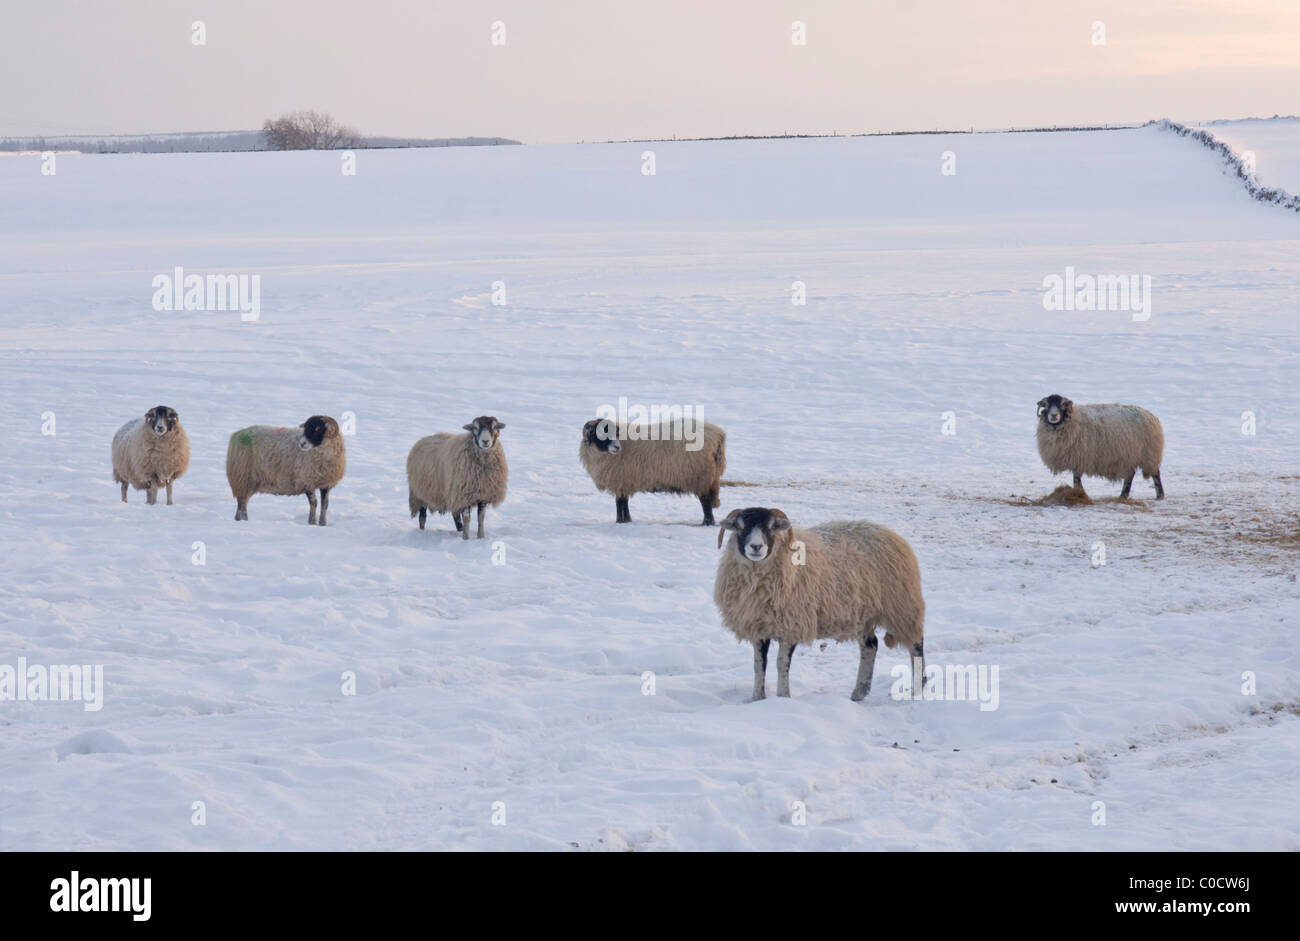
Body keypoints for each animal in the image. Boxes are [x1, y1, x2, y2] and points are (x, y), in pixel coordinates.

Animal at [582, 415, 728, 525]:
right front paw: (627, 520)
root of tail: (718, 435)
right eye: (601, 433)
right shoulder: (624, 482)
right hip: (709, 477)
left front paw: (620, 522)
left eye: (616, 433)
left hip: (701, 477)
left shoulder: (620, 480)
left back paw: (707, 523)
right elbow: (623, 502)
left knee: (705, 502)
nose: (617, 447)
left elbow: (619, 503)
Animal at [712, 506, 925, 696]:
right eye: (740, 526)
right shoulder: (758, 626)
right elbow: (758, 666)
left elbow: (781, 664)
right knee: (870, 646)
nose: (756, 547)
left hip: (902, 606)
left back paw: (918, 688)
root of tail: (889, 532)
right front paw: (757, 698)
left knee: (916, 645)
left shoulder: (793, 624)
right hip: (863, 614)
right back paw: (859, 693)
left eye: (771, 527)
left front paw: (782, 697)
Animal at [1034, 392, 1170, 499]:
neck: (1070, 420)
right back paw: (1123, 495)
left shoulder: (1079, 456)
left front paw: (1079, 492)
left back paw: (1159, 495)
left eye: (1062, 404)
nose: (1053, 415)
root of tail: (1152, 416)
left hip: (1149, 454)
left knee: (1155, 474)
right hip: (1129, 456)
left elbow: (1076, 479)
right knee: (1130, 475)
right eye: (1047, 405)